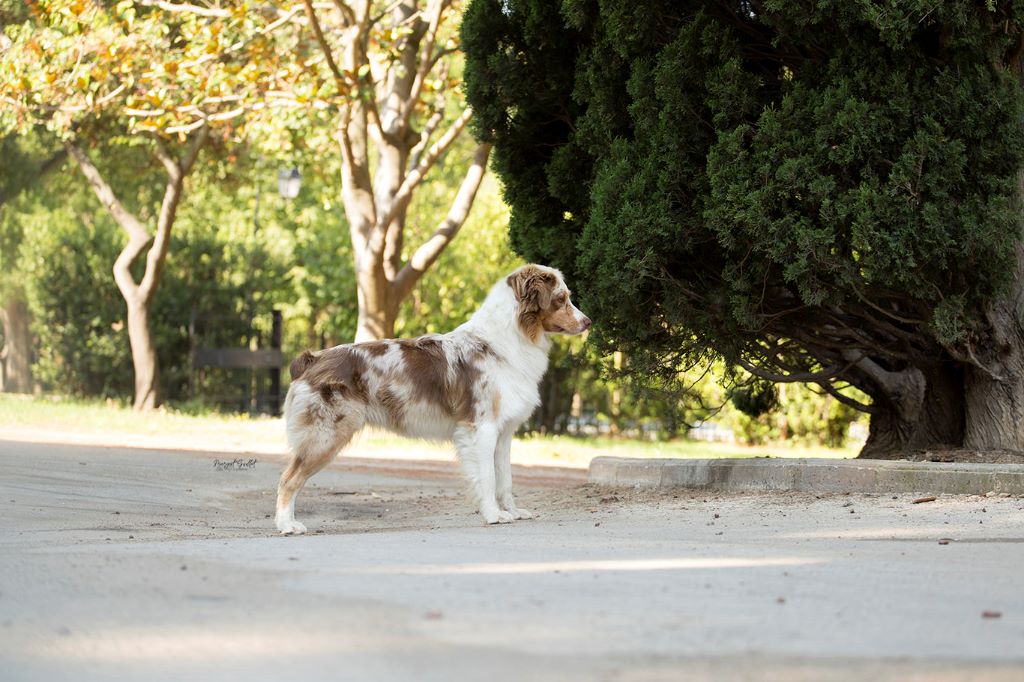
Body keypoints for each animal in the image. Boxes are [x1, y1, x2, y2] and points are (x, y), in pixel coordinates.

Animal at [274, 262, 593, 532]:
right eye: (561, 299)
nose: (589, 321)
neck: (506, 340)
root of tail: (312, 359)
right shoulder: (481, 428)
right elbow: (488, 478)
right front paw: (493, 515)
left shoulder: (503, 432)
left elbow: (505, 478)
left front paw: (512, 512)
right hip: (324, 436)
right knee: (288, 480)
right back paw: (287, 525)